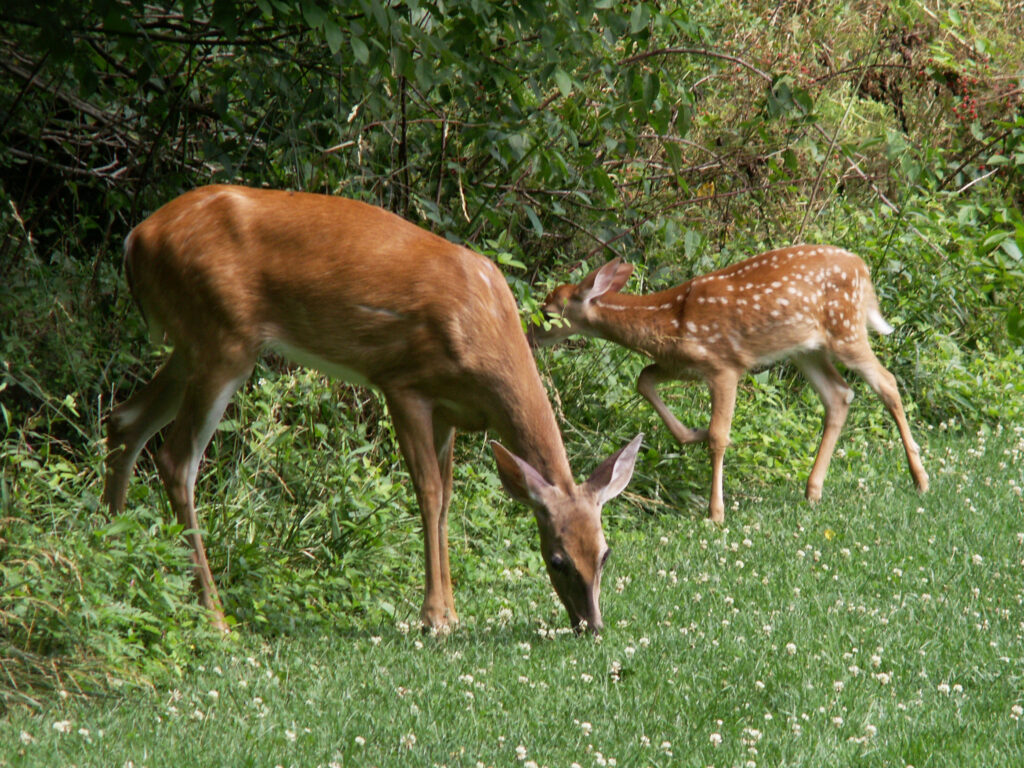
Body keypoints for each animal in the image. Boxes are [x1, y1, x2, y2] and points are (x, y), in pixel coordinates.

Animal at [101, 183, 638, 634]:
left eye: (606, 553)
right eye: (557, 559)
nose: (591, 625)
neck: (484, 334)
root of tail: (134, 240)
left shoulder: (448, 412)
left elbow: (447, 499)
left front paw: (451, 613)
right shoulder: (403, 385)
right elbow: (428, 494)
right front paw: (435, 618)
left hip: (190, 345)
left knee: (124, 419)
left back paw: (113, 552)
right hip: (222, 341)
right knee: (176, 460)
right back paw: (214, 617)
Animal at [536, 246, 929, 524]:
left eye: (548, 311)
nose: (529, 334)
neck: (669, 318)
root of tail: (863, 268)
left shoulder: (724, 366)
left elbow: (719, 436)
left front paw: (715, 513)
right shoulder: (684, 363)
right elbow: (644, 378)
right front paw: (690, 434)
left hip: (845, 329)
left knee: (887, 383)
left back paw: (920, 479)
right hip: (806, 348)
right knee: (839, 395)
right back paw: (813, 490)